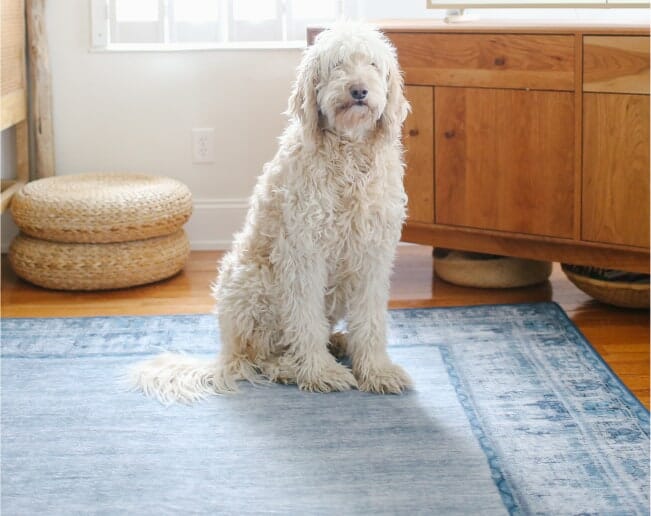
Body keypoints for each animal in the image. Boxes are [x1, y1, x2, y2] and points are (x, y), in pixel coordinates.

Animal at [132, 22, 412, 404]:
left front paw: (377, 371)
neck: (348, 155)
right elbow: (305, 320)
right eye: (337, 64)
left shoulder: (372, 254)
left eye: (371, 63)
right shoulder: (303, 253)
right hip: (256, 281)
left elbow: (370, 319)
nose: (359, 91)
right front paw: (319, 372)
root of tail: (226, 352)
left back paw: (339, 342)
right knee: (261, 357)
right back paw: (294, 366)